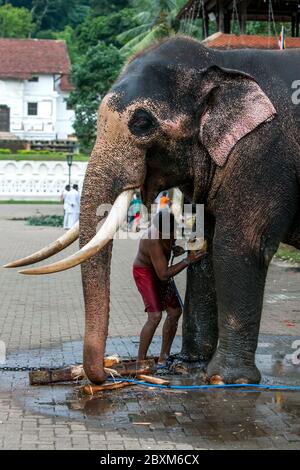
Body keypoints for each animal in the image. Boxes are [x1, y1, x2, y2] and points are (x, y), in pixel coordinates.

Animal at [5, 35, 300, 382]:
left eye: (142, 123)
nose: (105, 372)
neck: (219, 61)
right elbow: (209, 246)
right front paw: (189, 367)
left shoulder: (261, 155)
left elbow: (240, 247)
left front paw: (225, 379)